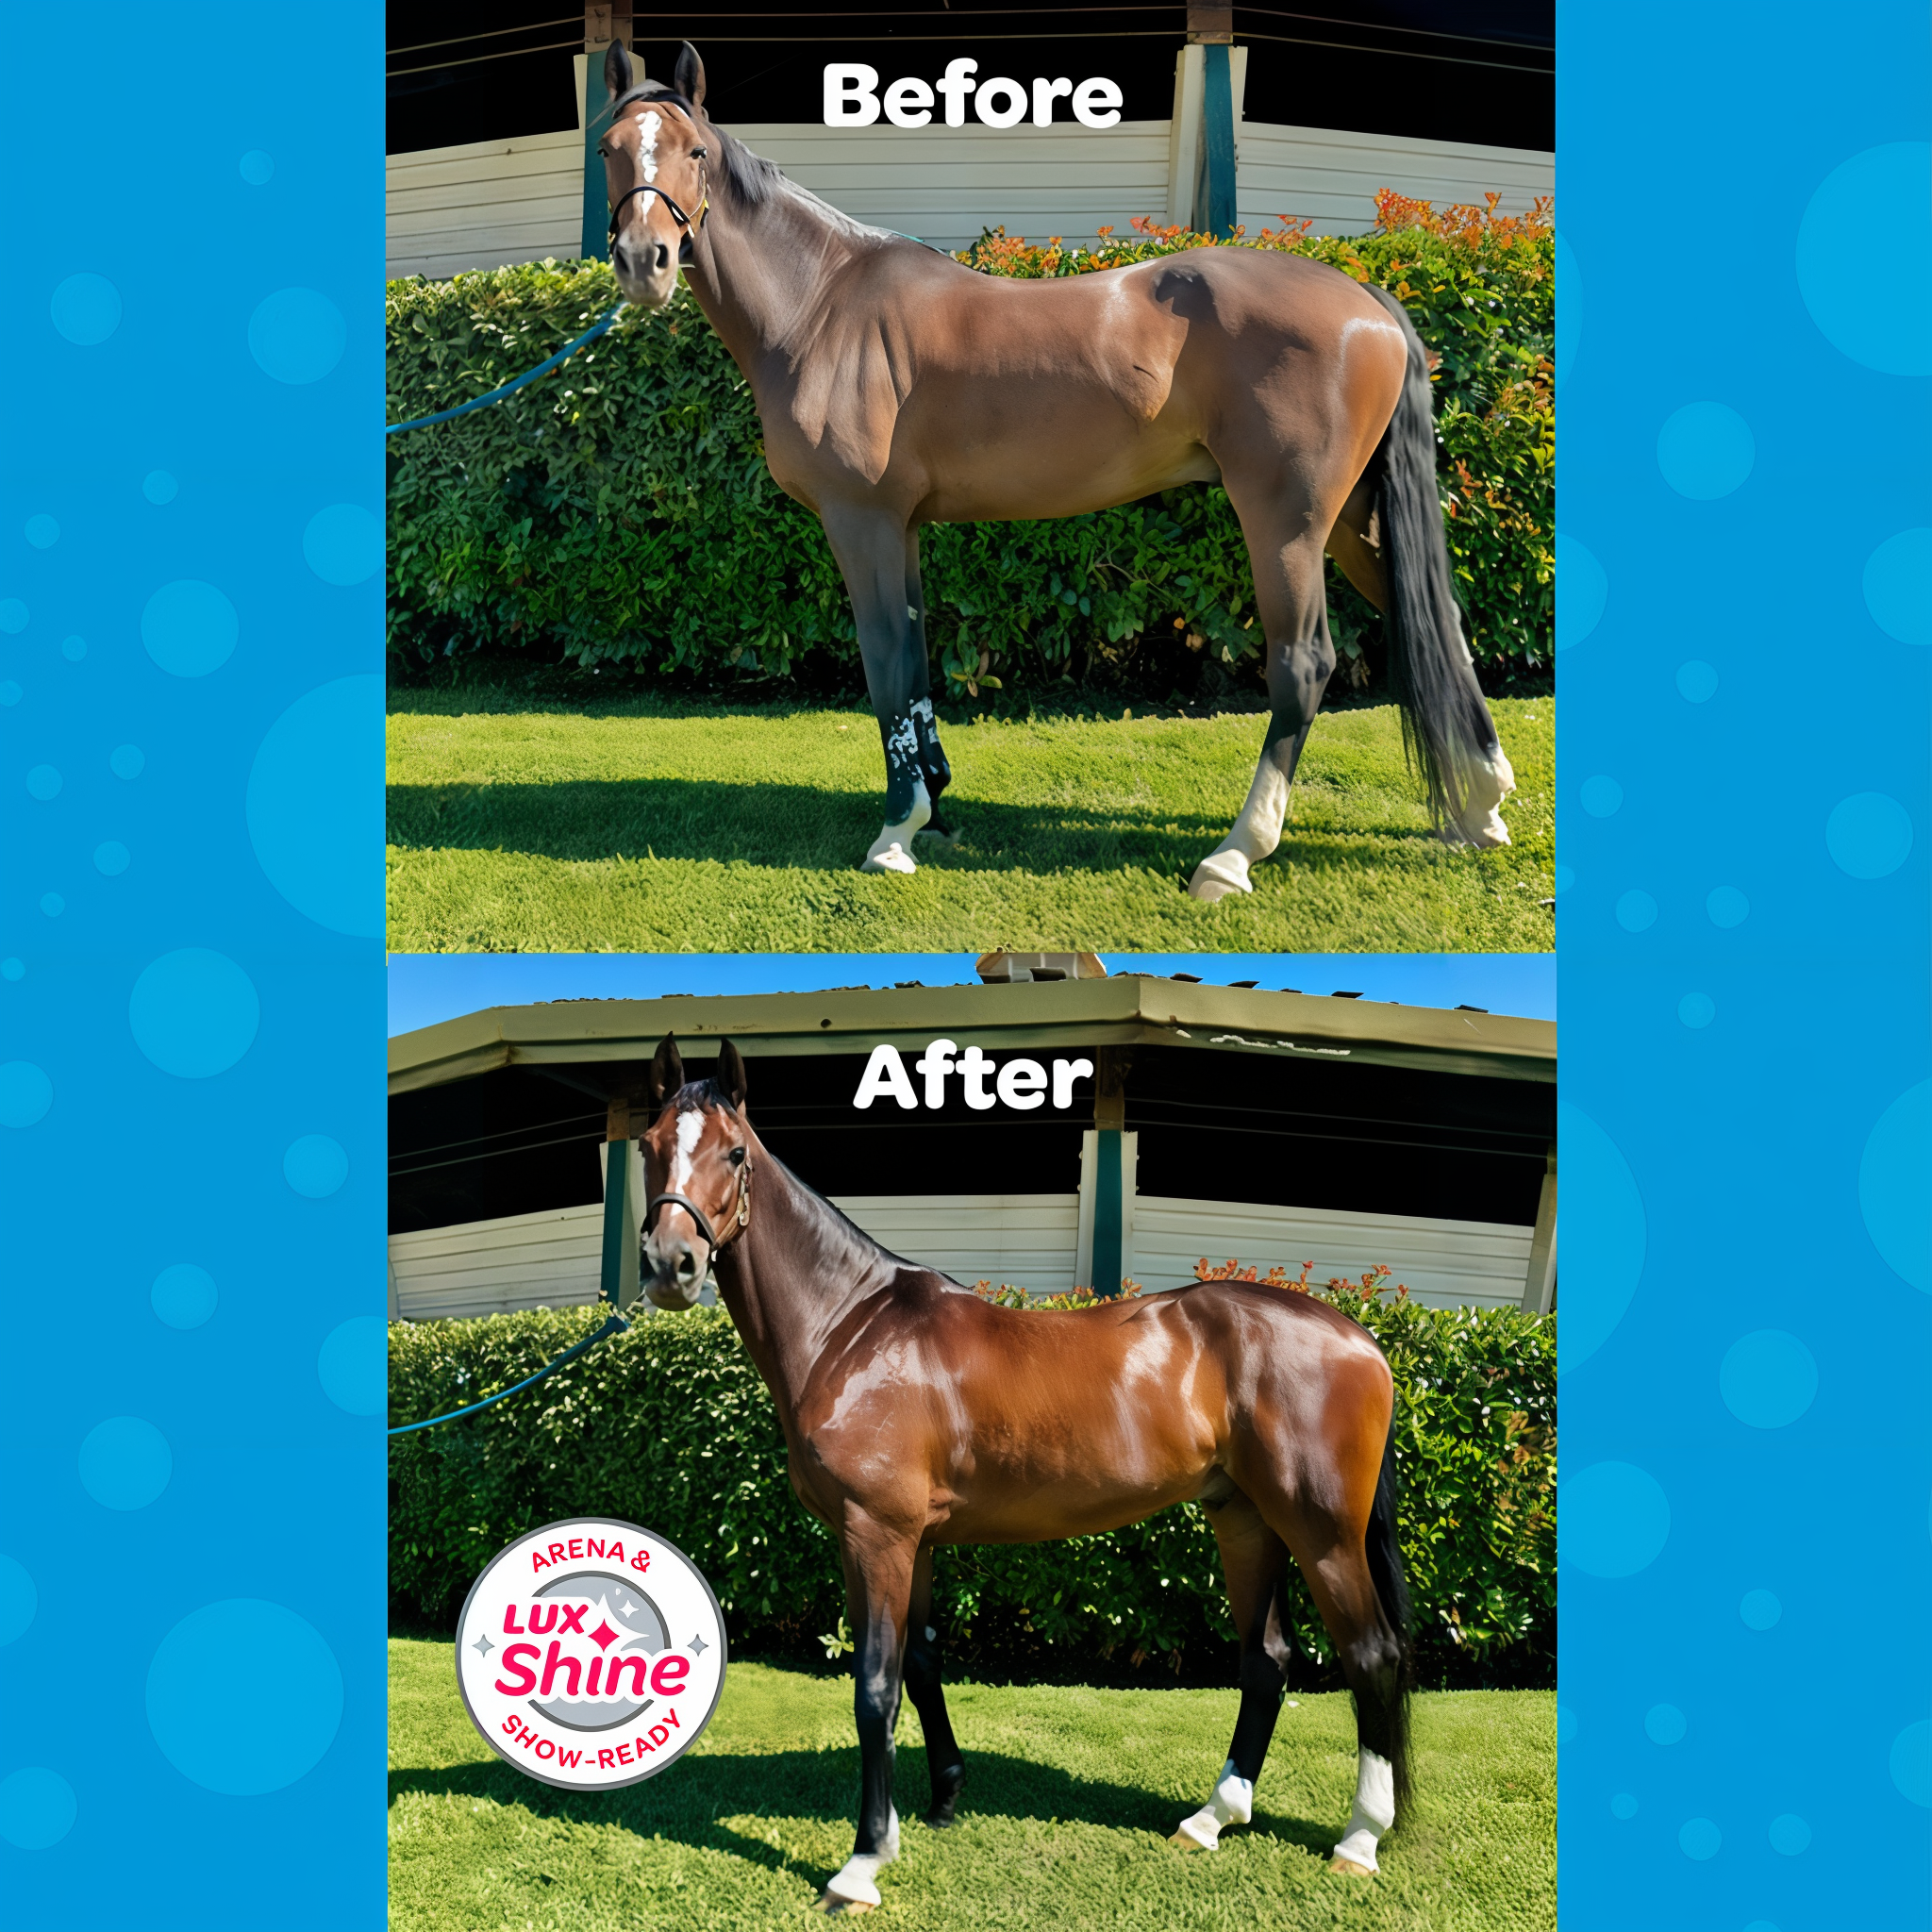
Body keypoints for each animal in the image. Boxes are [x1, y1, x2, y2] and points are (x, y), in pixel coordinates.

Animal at [593, 42, 1515, 900]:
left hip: (1285, 520)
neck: (822, 306)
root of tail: (1370, 302)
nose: (645, 261)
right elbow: (917, 661)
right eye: (608, 147)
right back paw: (1483, 807)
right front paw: (935, 811)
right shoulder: (906, 526)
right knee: (1437, 621)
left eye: (695, 151)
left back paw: (1235, 854)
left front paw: (895, 834)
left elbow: (885, 660)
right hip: (1353, 517)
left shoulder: (861, 521)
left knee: (1304, 663)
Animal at [636, 1034, 1415, 1911]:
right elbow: (921, 1663)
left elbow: (874, 1687)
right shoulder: (911, 1541)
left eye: (734, 1152)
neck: (850, 1328)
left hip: (1322, 1531)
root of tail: (1361, 1339)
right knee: (1268, 1659)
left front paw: (862, 1863)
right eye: (650, 1145)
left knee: (1372, 1655)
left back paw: (1358, 1839)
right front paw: (936, 1802)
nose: (671, 1264)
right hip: (1246, 1519)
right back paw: (1212, 1818)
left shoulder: (876, 1535)